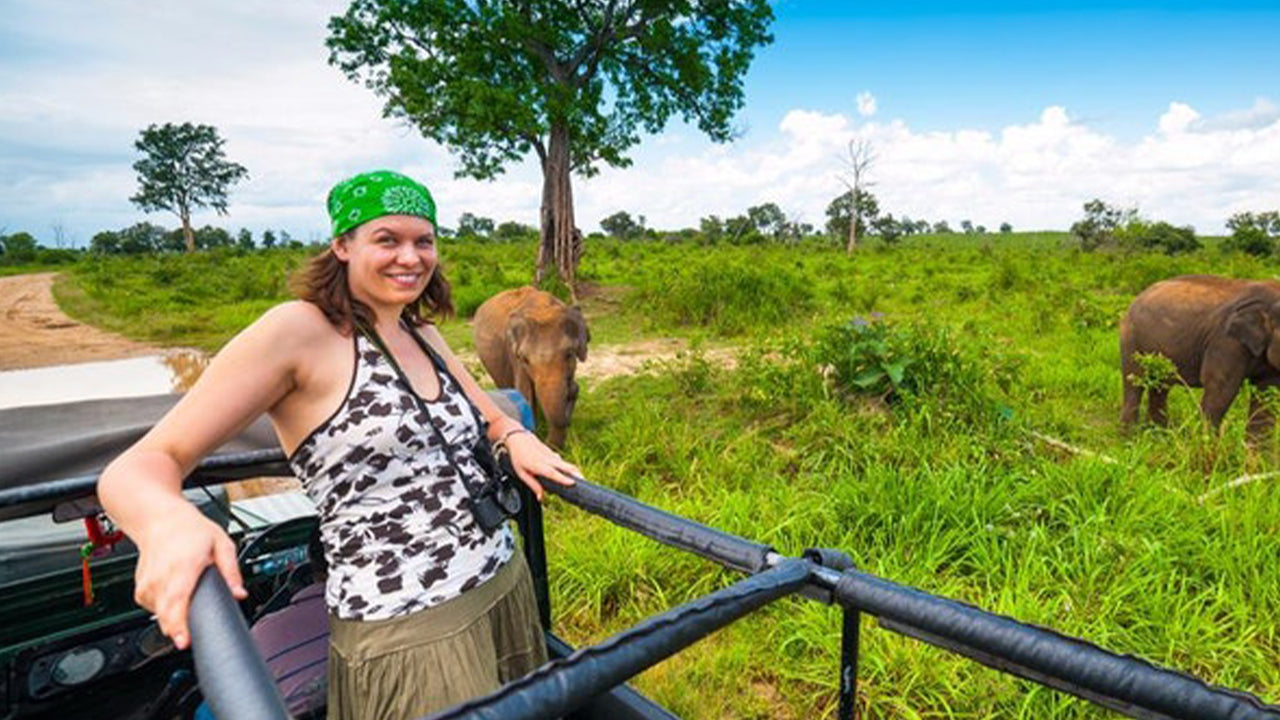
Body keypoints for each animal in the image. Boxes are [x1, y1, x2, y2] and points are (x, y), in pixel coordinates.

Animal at [471, 286, 588, 448]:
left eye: (569, 354)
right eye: (525, 359)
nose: (573, 388)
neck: (542, 309)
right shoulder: (514, 356)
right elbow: (525, 393)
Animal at [1116, 272, 1280, 430]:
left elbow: (1267, 397)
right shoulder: (1226, 342)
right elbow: (1220, 392)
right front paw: (1207, 441)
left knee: (1160, 387)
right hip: (1131, 339)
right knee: (1134, 384)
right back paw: (1129, 436)